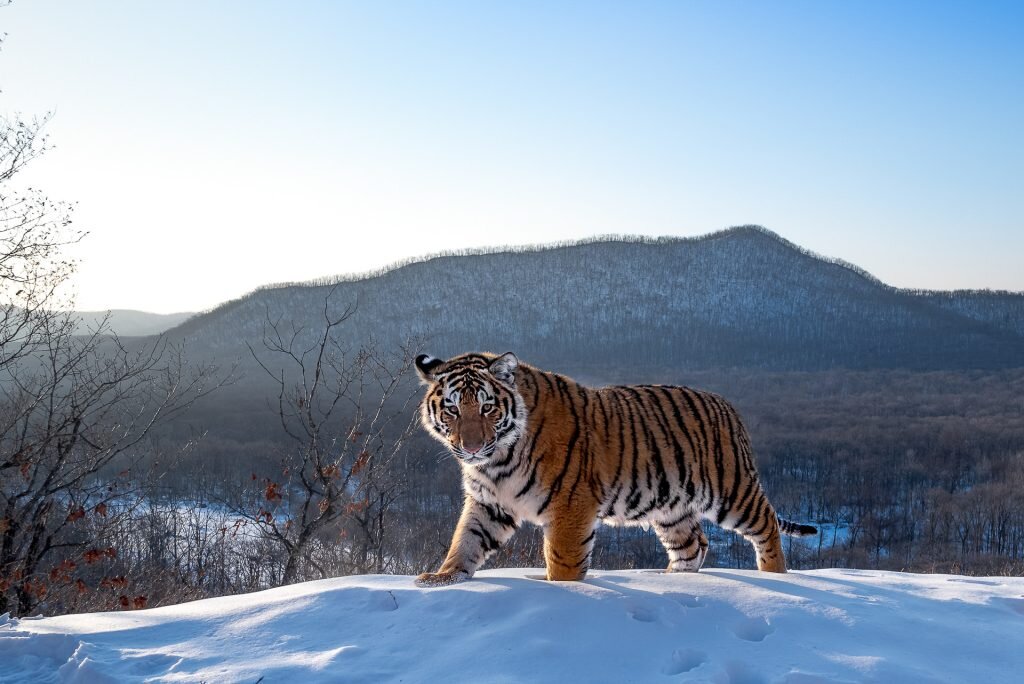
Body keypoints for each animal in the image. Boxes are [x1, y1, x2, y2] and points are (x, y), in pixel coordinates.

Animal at [409, 352, 815, 589]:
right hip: (671, 507)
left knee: (766, 523)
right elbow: (466, 540)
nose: (471, 447)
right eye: (453, 409)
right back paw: (672, 581)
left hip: (731, 491)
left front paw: (561, 588)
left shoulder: (570, 504)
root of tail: (726, 404)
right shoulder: (489, 502)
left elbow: (563, 559)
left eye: (487, 407)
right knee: (693, 544)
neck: (496, 462)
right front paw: (443, 577)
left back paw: (774, 575)